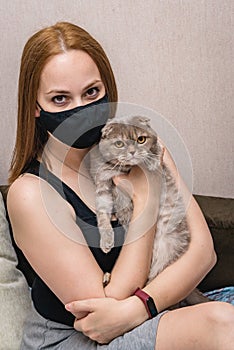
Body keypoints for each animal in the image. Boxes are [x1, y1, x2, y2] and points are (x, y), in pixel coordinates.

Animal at [90, 116, 210, 304]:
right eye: (119, 143)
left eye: (141, 139)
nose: (133, 152)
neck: (126, 168)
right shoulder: (103, 185)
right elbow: (102, 214)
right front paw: (106, 240)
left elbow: (155, 151)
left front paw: (152, 160)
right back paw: (107, 277)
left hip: (166, 255)